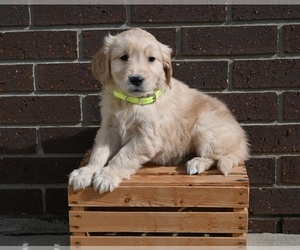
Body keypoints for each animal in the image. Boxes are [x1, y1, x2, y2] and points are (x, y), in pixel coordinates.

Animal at [68, 28, 248, 193]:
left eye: (151, 59)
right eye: (124, 57)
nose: (136, 79)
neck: (132, 102)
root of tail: (242, 142)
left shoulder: (148, 136)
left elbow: (123, 155)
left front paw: (108, 175)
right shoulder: (109, 127)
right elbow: (99, 152)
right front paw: (86, 171)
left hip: (205, 127)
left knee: (217, 156)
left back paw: (198, 162)